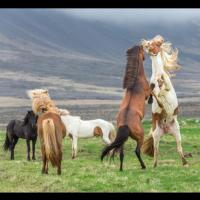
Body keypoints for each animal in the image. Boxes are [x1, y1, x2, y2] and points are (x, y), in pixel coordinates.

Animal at [141, 34, 188, 167]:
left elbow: (164, 87)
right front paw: (158, 102)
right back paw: (154, 166)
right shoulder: (152, 88)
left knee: (179, 148)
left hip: (177, 132)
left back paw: (185, 163)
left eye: (155, 43)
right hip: (156, 135)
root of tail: (166, 131)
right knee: (156, 151)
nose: (145, 44)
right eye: (148, 43)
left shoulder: (167, 85)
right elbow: (154, 93)